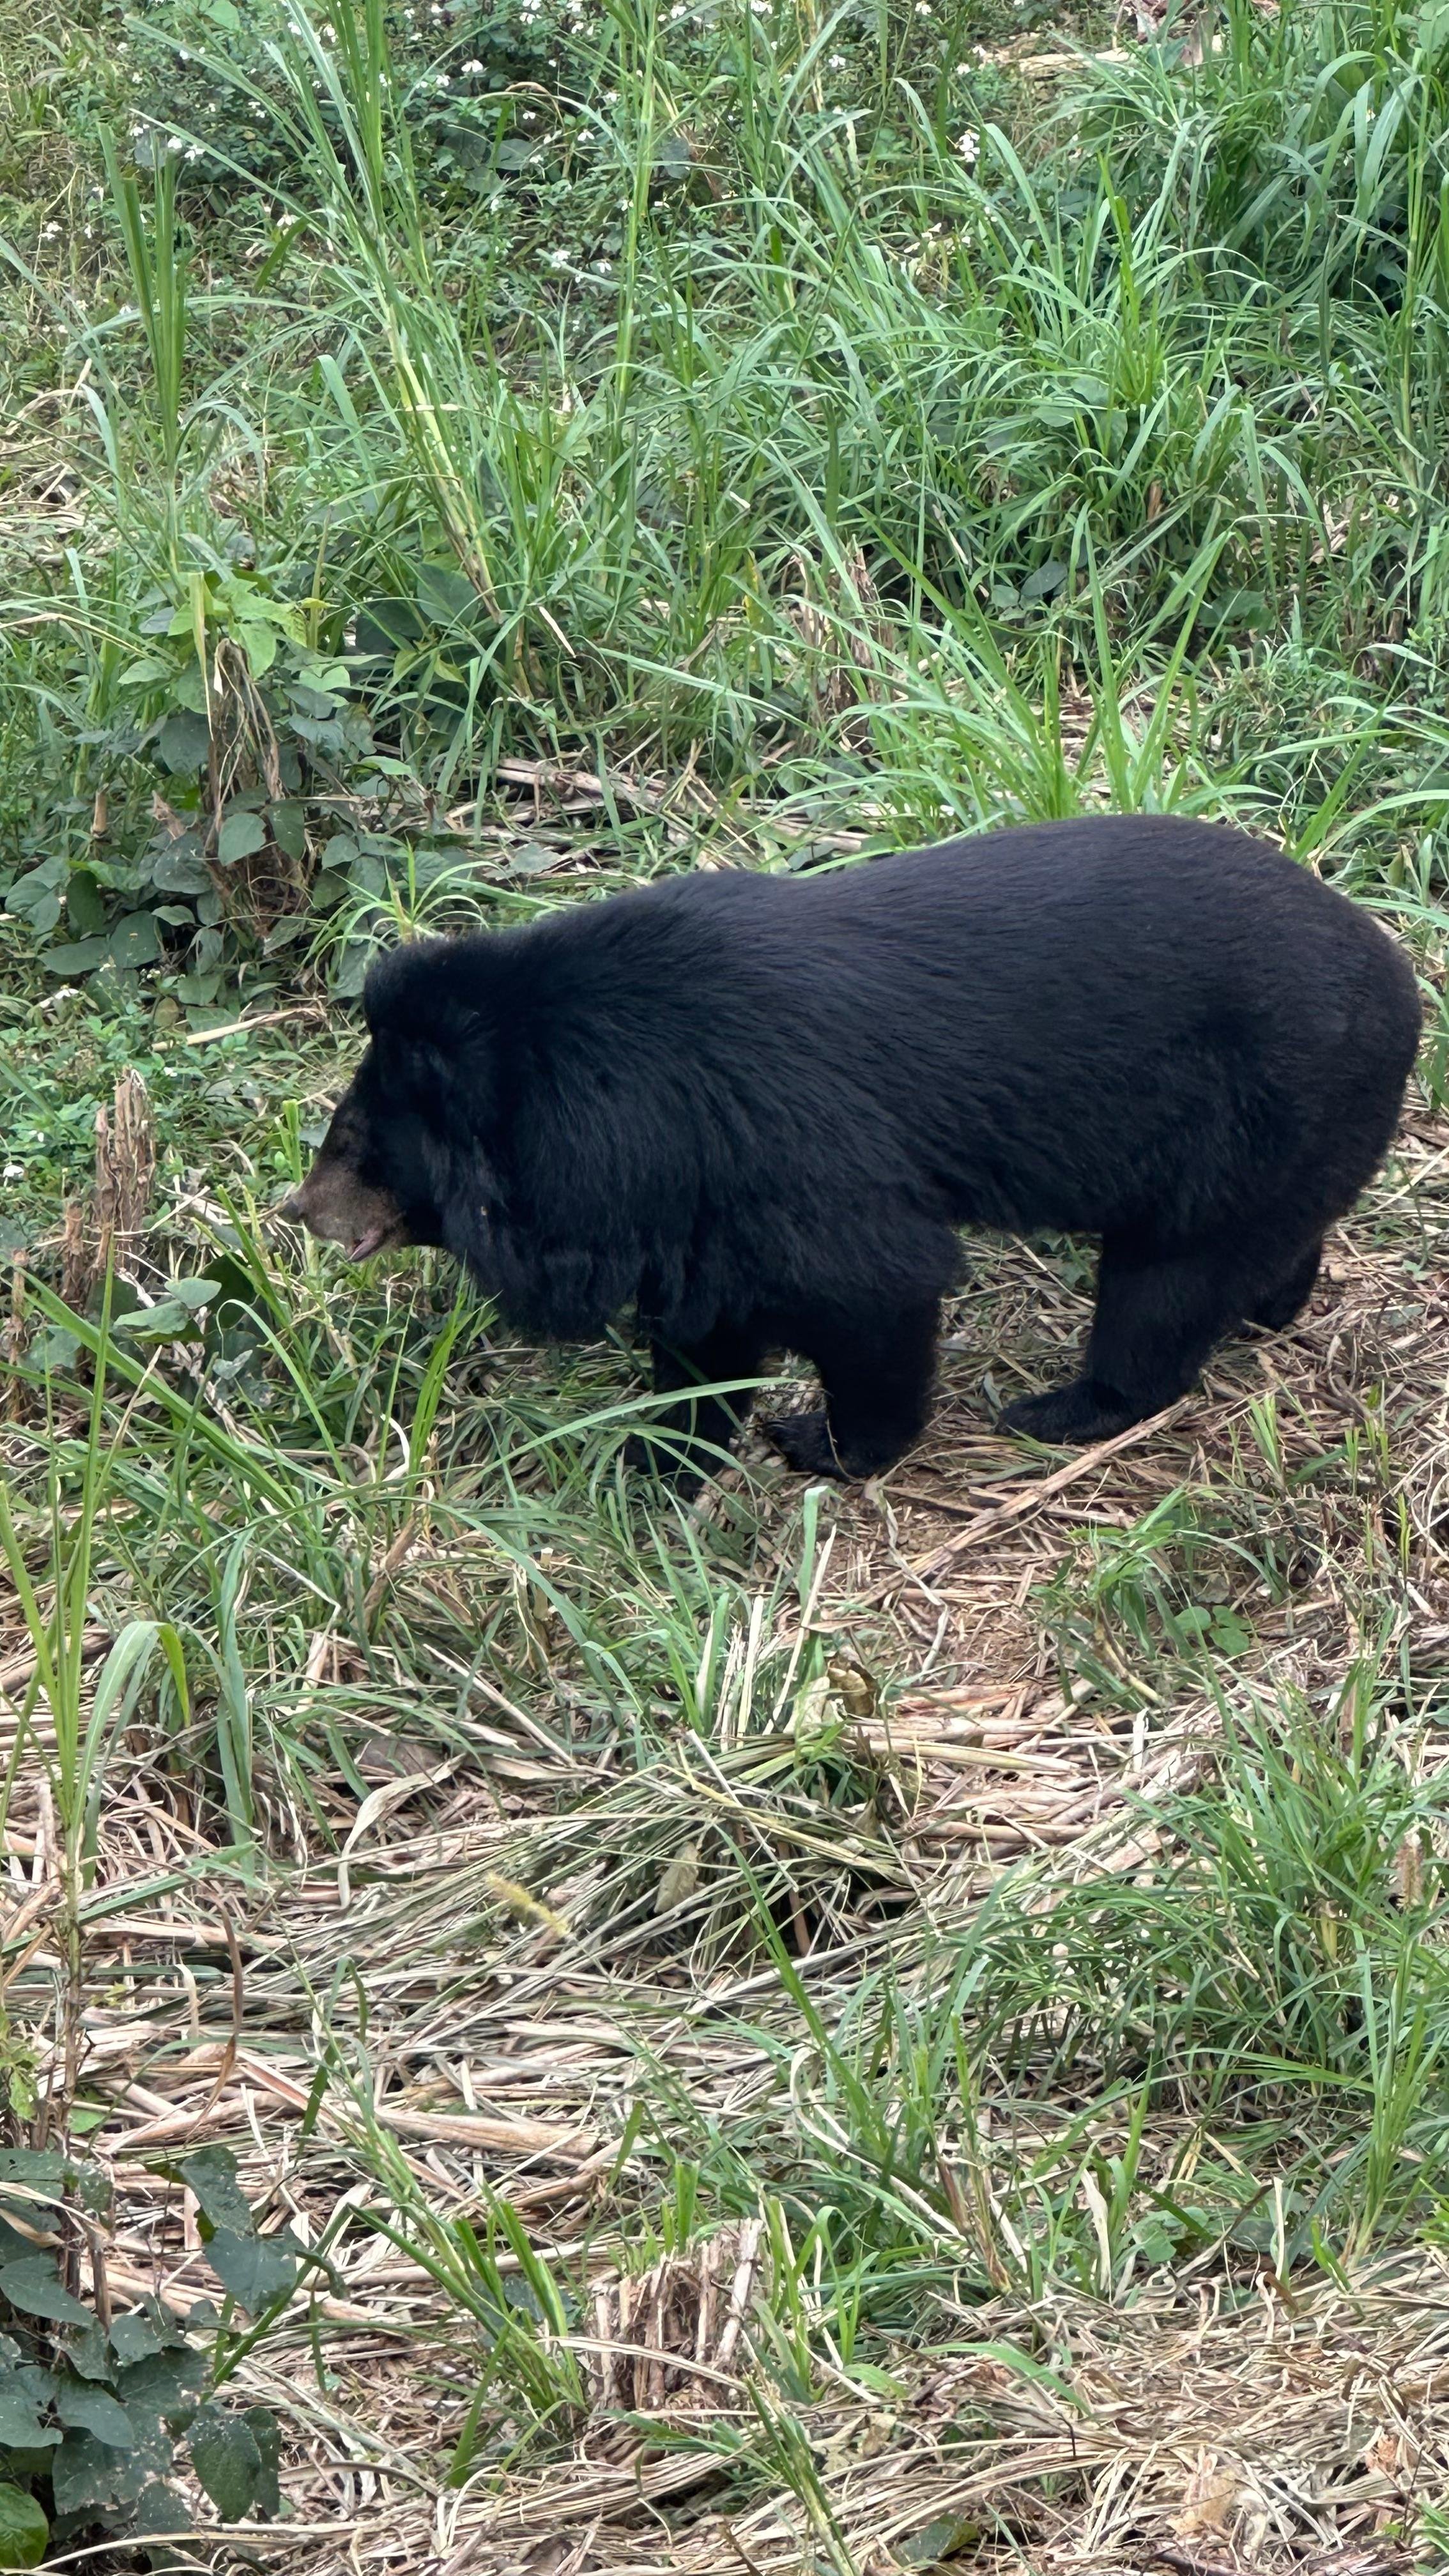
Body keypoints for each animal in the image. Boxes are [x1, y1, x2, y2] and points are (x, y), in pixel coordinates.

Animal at [279, 815, 1421, 1482]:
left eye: (356, 1146)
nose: (296, 1212)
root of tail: (1401, 983)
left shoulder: (776, 1145)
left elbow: (868, 1283)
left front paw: (822, 1444)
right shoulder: (696, 1196)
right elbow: (711, 1323)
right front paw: (665, 1447)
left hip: (1252, 1111)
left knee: (1164, 1288)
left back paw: (1063, 1409)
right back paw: (1269, 1308)